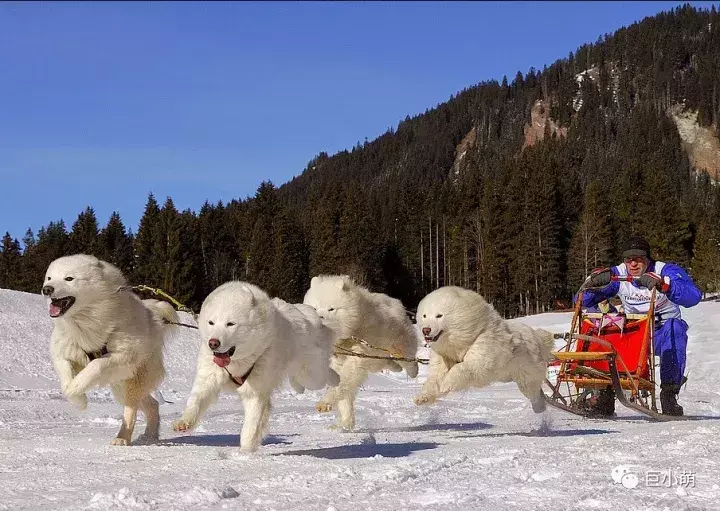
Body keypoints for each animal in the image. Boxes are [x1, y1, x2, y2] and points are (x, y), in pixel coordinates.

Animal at [44, 254, 178, 446]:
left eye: (69, 278)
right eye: (49, 278)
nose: (46, 289)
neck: (85, 322)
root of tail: (154, 316)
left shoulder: (123, 356)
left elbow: (94, 367)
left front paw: (76, 390)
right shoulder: (64, 353)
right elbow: (65, 378)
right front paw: (78, 400)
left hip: (132, 381)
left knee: (131, 411)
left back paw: (122, 438)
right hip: (121, 386)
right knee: (152, 404)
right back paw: (149, 436)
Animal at [172, 282, 338, 454]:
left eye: (230, 324)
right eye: (211, 322)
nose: (213, 343)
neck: (237, 362)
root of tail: (310, 313)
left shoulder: (255, 393)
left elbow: (250, 428)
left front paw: (244, 453)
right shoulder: (208, 378)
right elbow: (196, 401)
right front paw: (184, 422)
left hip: (312, 375)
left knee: (326, 374)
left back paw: (336, 380)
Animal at [304, 276, 422, 432]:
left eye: (331, 309)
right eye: (314, 308)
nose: (319, 319)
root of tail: (395, 302)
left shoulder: (357, 357)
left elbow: (342, 384)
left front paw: (325, 403)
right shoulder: (339, 361)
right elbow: (344, 392)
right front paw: (346, 422)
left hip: (399, 344)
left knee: (407, 358)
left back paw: (413, 370)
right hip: (375, 358)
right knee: (385, 363)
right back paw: (395, 367)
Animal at [414, 286, 556, 414]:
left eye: (439, 315)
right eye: (424, 315)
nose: (425, 330)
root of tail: (536, 335)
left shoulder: (482, 350)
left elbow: (463, 367)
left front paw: (447, 384)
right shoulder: (442, 357)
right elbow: (435, 379)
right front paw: (422, 397)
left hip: (526, 372)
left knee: (533, 391)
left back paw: (540, 407)